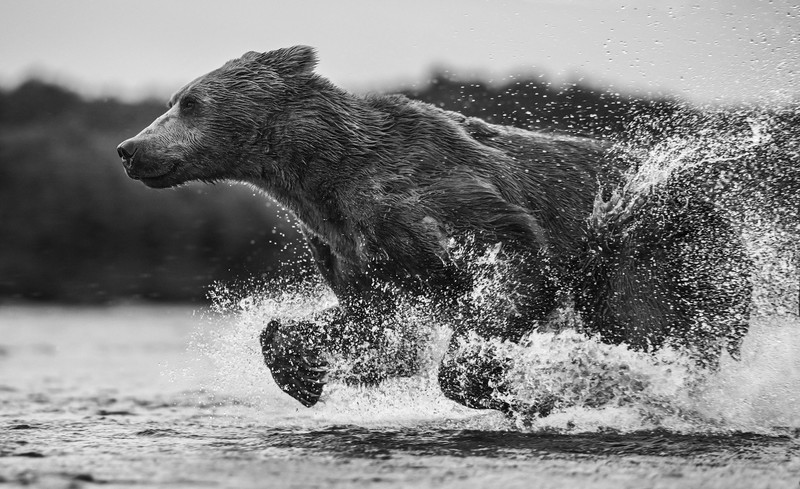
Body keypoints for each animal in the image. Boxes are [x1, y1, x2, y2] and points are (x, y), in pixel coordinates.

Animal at [117, 46, 752, 416]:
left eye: (190, 102)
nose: (130, 149)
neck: (322, 174)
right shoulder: (349, 243)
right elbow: (373, 326)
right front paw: (301, 370)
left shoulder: (430, 193)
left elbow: (512, 263)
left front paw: (509, 382)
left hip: (650, 248)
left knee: (650, 322)